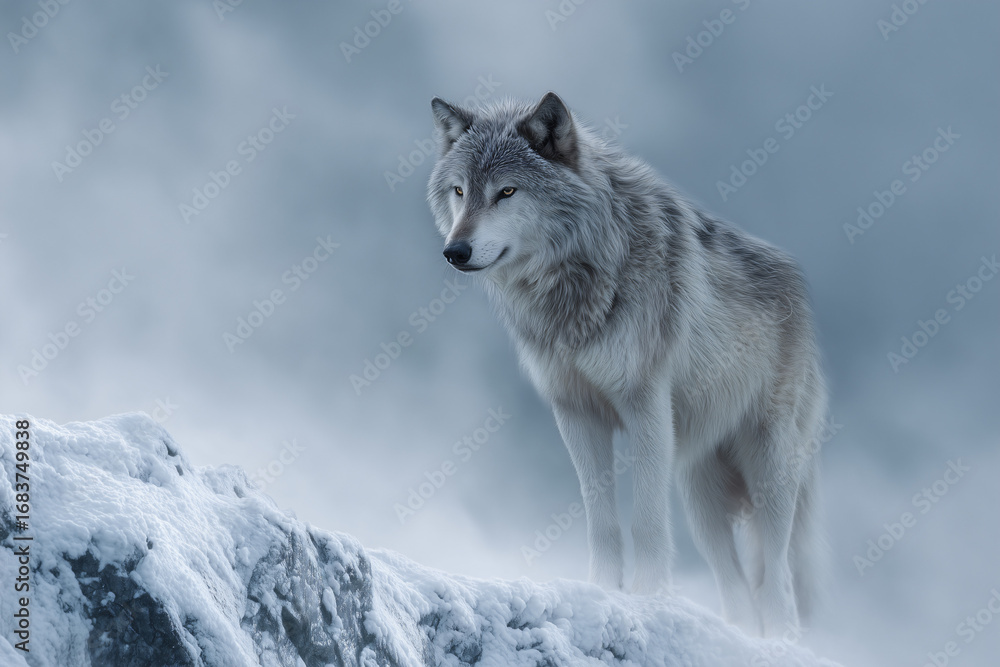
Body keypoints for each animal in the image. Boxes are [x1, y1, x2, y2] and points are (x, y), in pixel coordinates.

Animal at [426, 92, 826, 637]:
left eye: (506, 191)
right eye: (460, 191)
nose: (455, 251)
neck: (578, 278)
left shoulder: (646, 406)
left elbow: (647, 519)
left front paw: (649, 597)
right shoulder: (575, 412)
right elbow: (602, 520)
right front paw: (601, 591)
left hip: (768, 472)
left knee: (778, 574)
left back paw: (781, 641)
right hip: (701, 496)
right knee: (735, 583)